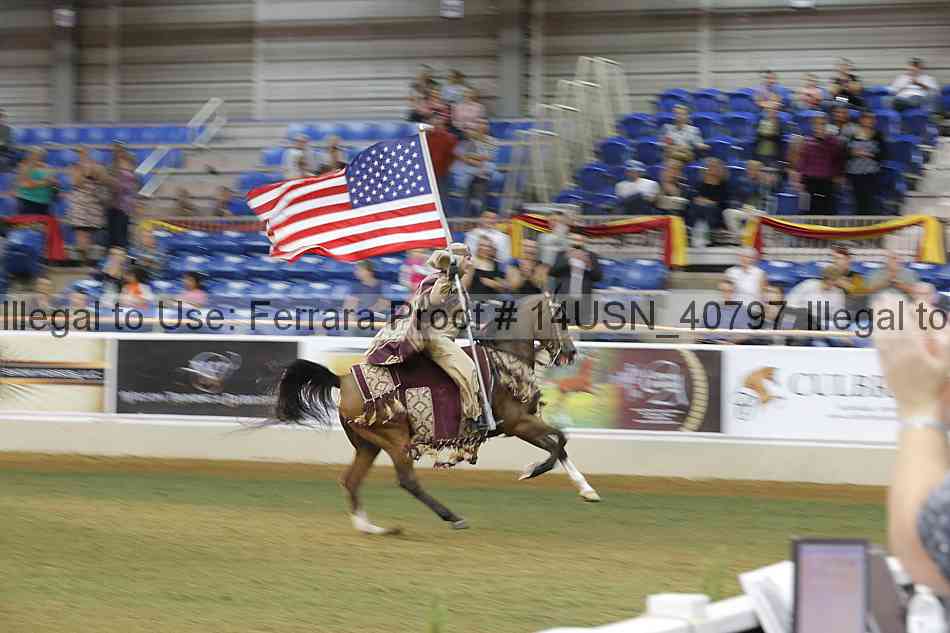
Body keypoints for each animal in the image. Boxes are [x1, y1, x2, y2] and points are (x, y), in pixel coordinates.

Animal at [264, 294, 601, 534]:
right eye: (559, 318)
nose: (571, 352)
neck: (503, 361)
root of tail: (342, 379)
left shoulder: (520, 424)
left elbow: (559, 445)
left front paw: (587, 491)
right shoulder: (518, 423)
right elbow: (560, 441)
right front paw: (532, 470)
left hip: (368, 444)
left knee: (351, 481)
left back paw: (371, 528)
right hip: (394, 439)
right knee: (406, 481)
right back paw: (452, 517)